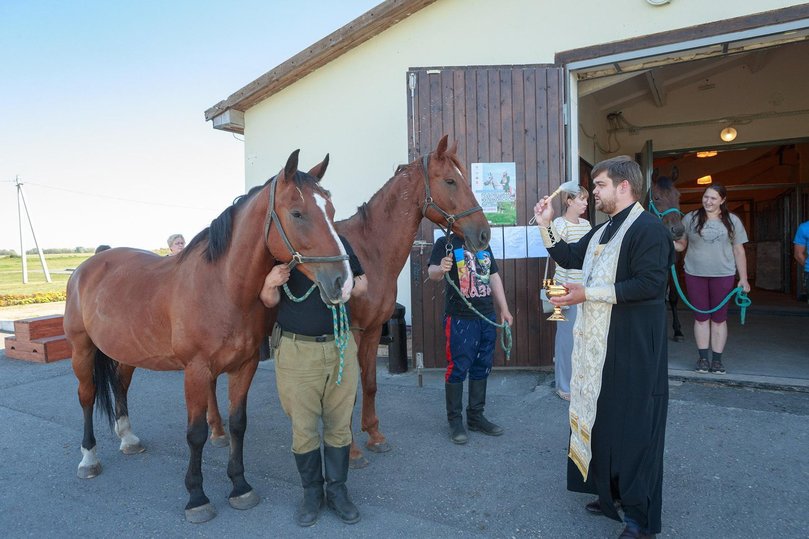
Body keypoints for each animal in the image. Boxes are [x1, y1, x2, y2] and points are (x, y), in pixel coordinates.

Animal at [61, 151, 352, 524]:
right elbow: (196, 434)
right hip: (81, 350)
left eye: (331, 210)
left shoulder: (245, 366)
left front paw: (240, 486)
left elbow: (238, 424)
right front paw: (196, 497)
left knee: (121, 388)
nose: (342, 282)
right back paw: (89, 458)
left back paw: (128, 438)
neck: (222, 287)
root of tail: (89, 264)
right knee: (86, 396)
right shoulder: (196, 372)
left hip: (126, 352)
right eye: (297, 213)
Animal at [332, 136, 490, 468]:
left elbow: (369, 383)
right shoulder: (350, 333)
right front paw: (350, 452)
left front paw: (374, 436)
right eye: (450, 181)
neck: (369, 252)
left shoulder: (372, 330)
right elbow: (347, 392)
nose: (484, 234)